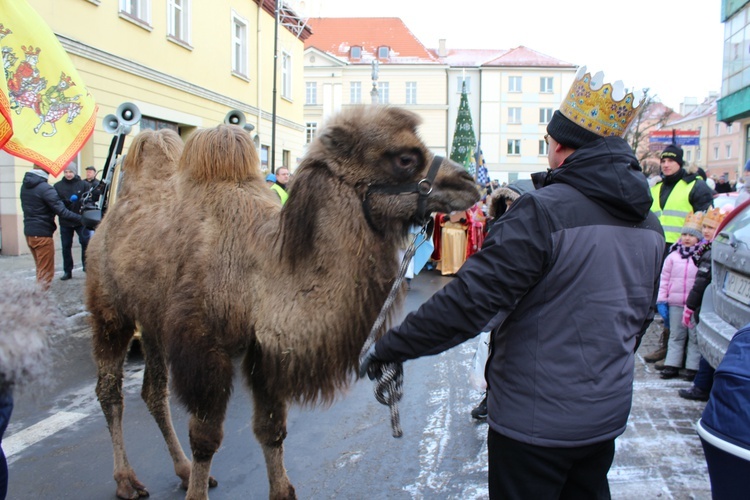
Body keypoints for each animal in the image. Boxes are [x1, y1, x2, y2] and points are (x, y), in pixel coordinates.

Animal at [85, 104, 478, 496]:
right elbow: (206, 437)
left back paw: (181, 470)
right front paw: (197, 488)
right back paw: (127, 480)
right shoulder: (204, 346)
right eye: (405, 158)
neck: (262, 270)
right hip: (109, 310)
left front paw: (279, 488)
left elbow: (271, 429)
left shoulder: (264, 353)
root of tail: (111, 215)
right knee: (110, 390)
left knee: (154, 392)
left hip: (151, 320)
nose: (470, 182)